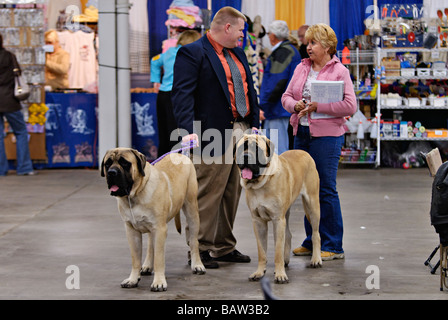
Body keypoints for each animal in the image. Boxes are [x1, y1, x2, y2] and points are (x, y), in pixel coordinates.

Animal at [101, 149, 205, 292]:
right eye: (107, 164)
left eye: (125, 163)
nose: (112, 172)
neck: (135, 194)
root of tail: (180, 154)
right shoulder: (131, 231)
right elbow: (135, 258)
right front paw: (133, 279)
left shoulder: (160, 229)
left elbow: (159, 258)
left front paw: (159, 282)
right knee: (151, 245)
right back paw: (147, 266)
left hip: (192, 211)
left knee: (194, 241)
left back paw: (197, 265)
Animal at [234, 134, 322, 284]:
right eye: (241, 148)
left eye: (256, 149)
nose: (245, 156)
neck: (261, 184)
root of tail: (305, 152)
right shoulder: (258, 222)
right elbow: (261, 251)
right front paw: (259, 272)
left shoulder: (277, 220)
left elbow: (277, 251)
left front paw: (280, 275)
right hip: (287, 212)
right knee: (289, 234)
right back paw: (286, 259)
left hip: (312, 205)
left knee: (316, 234)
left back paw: (316, 259)